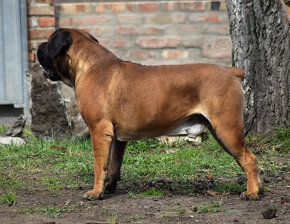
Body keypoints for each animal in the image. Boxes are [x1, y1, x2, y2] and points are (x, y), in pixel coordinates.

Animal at [36, 28, 262, 201]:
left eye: (48, 43)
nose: (38, 45)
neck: (90, 64)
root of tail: (229, 71)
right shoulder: (117, 138)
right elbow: (113, 166)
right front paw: (109, 189)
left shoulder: (99, 130)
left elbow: (99, 165)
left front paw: (96, 192)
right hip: (222, 132)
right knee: (245, 160)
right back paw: (257, 188)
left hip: (227, 128)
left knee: (249, 159)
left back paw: (251, 193)